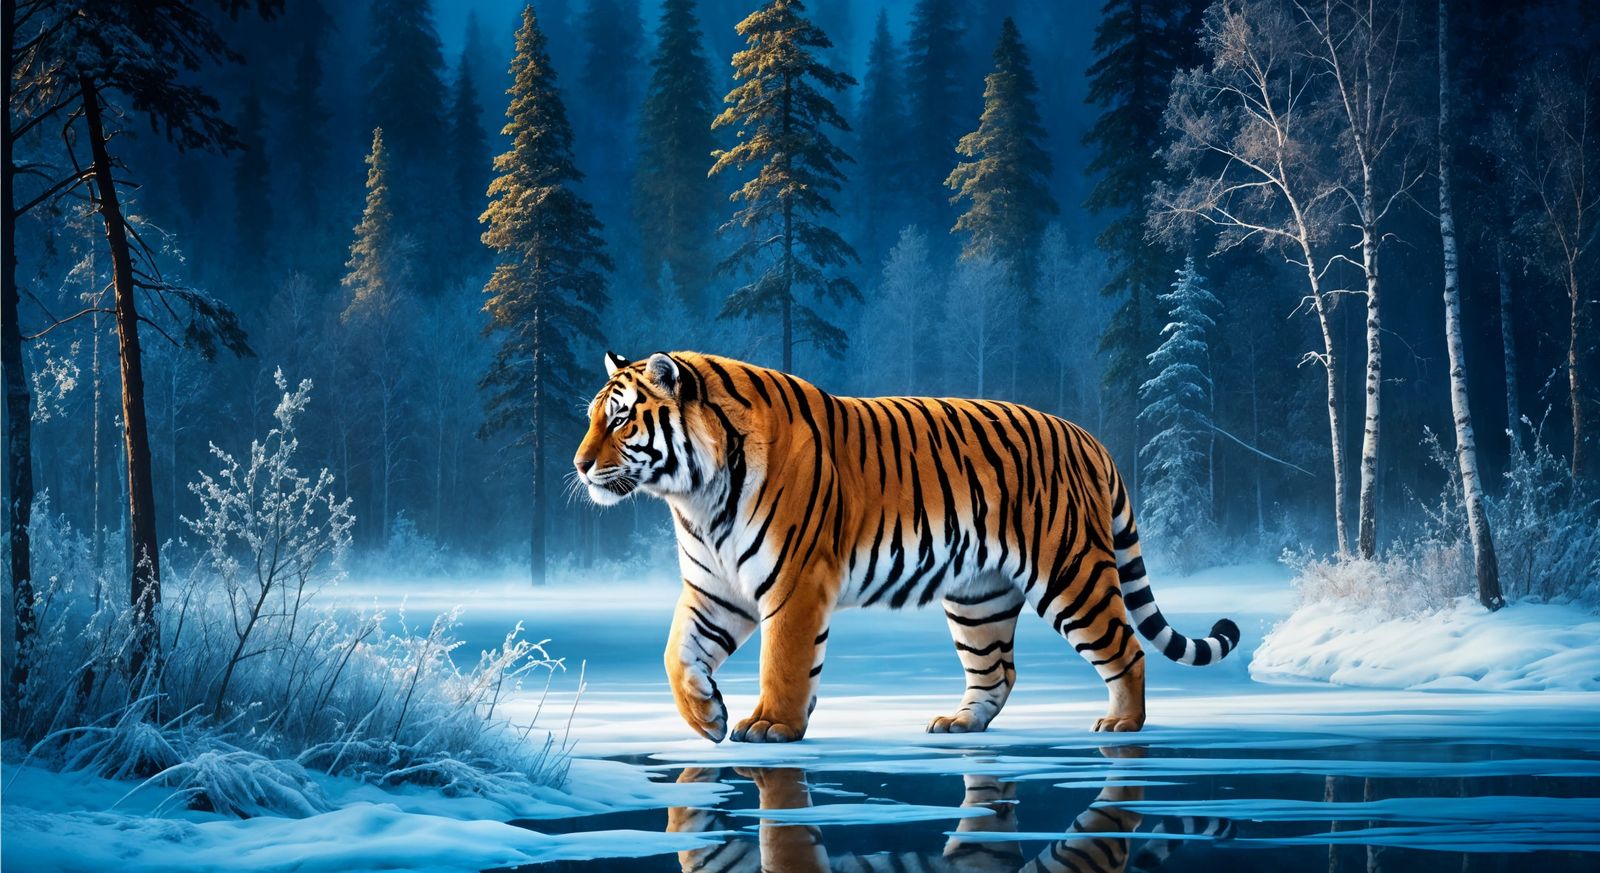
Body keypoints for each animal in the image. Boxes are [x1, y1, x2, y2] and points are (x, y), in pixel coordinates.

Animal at [573, 351, 1240, 744]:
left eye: (621, 419)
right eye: (592, 418)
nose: (578, 465)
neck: (697, 495)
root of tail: (1086, 436)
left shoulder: (794, 582)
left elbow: (783, 662)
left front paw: (771, 726)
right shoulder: (716, 589)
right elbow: (675, 654)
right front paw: (707, 717)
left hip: (1069, 574)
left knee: (1126, 647)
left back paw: (1123, 723)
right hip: (978, 599)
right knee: (998, 670)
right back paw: (959, 723)